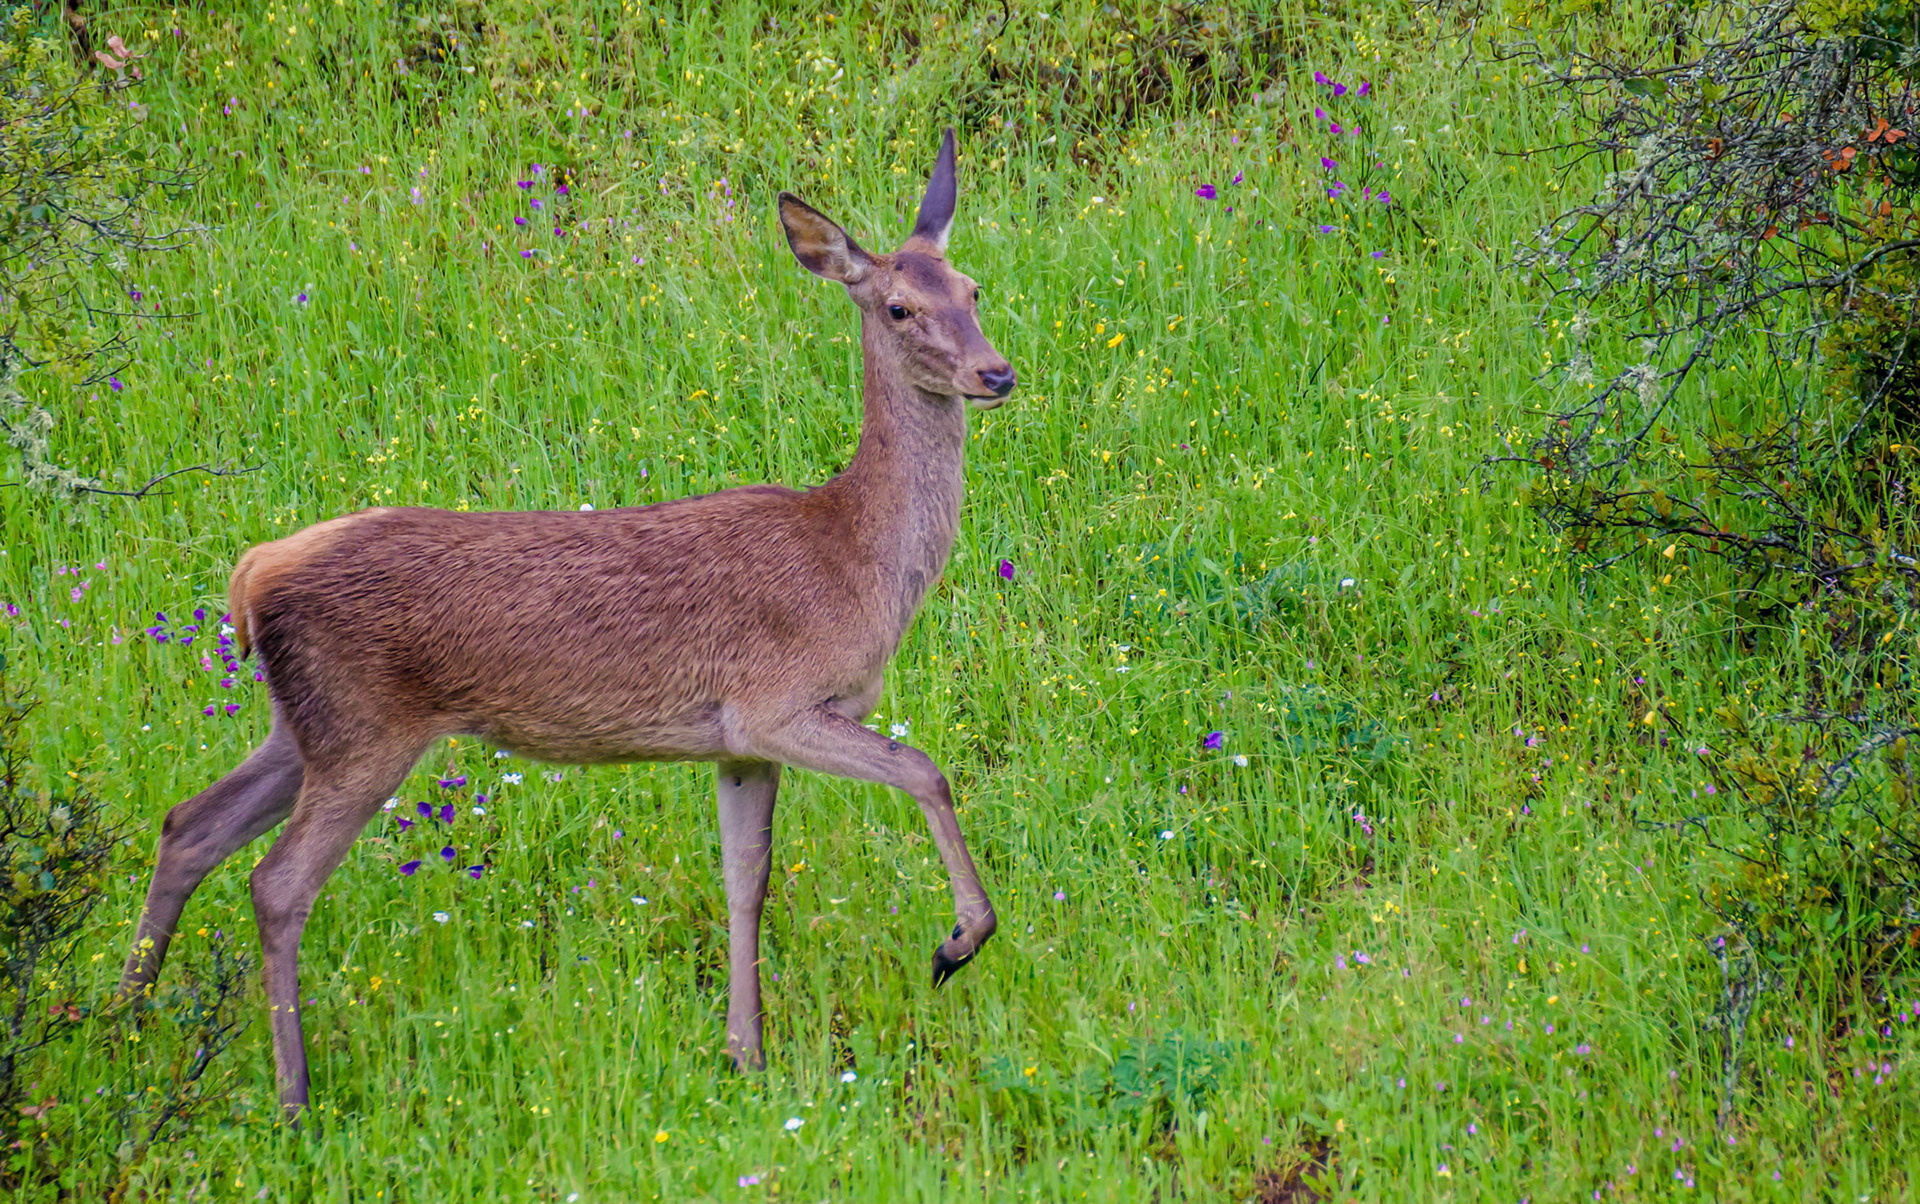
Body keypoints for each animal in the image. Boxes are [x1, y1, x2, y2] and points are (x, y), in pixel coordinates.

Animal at [116, 129, 1014, 1117]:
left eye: (973, 287)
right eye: (898, 305)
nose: (995, 372)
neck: (855, 563)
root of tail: (251, 574)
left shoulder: (738, 742)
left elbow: (746, 879)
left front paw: (745, 1054)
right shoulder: (776, 701)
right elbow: (926, 770)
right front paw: (959, 940)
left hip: (303, 722)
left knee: (188, 825)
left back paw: (122, 1024)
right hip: (365, 728)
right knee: (275, 883)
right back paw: (292, 1095)